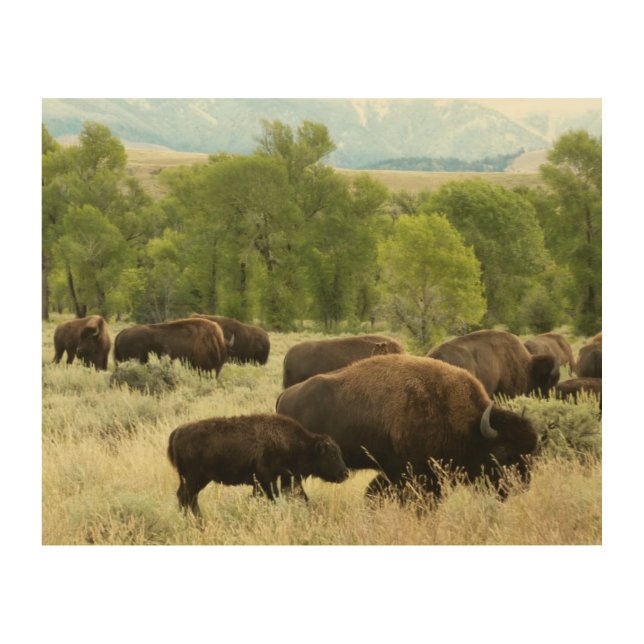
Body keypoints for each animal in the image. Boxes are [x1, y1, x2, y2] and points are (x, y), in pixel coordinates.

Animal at [167, 414, 349, 514]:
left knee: (186, 498)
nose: (345, 473)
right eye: (332, 454)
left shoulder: (272, 480)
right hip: (194, 479)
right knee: (187, 498)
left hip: (195, 480)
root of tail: (177, 432)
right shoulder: (267, 479)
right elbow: (273, 497)